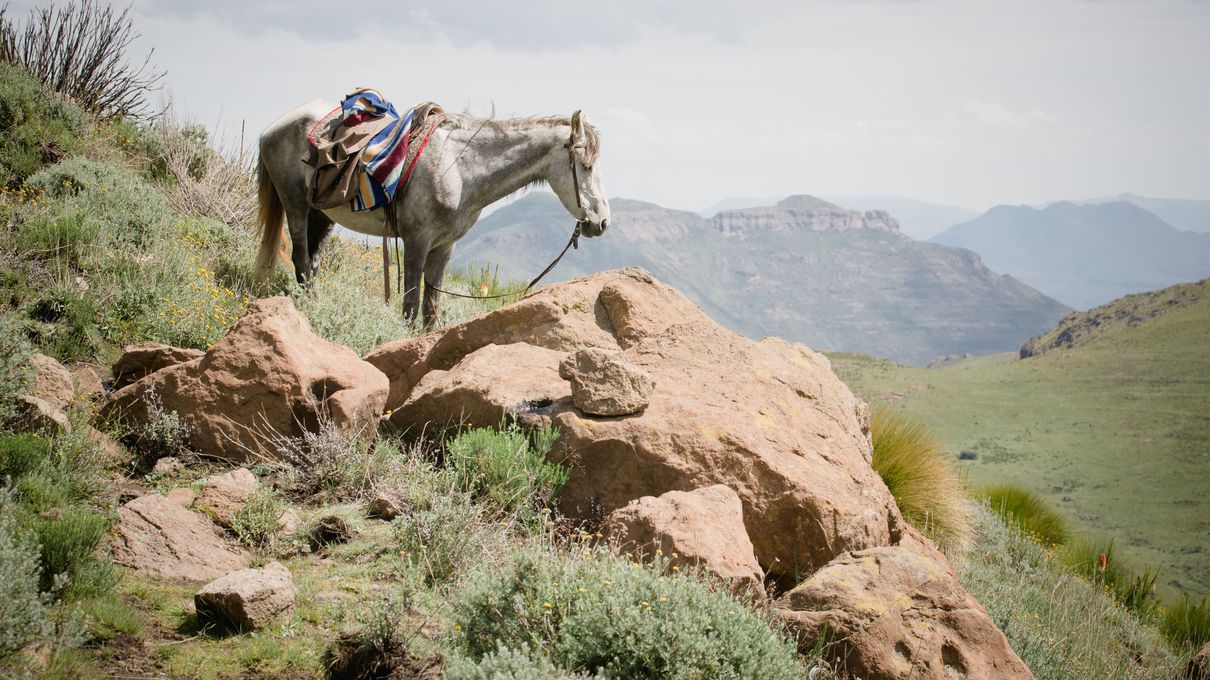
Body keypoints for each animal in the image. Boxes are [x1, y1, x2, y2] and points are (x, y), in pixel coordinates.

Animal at [256, 97, 614, 326]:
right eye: (586, 166)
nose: (602, 222)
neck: (459, 169)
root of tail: (273, 127)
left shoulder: (444, 246)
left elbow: (431, 306)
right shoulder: (417, 240)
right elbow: (411, 304)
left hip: (323, 215)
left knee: (312, 264)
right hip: (295, 205)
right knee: (301, 259)